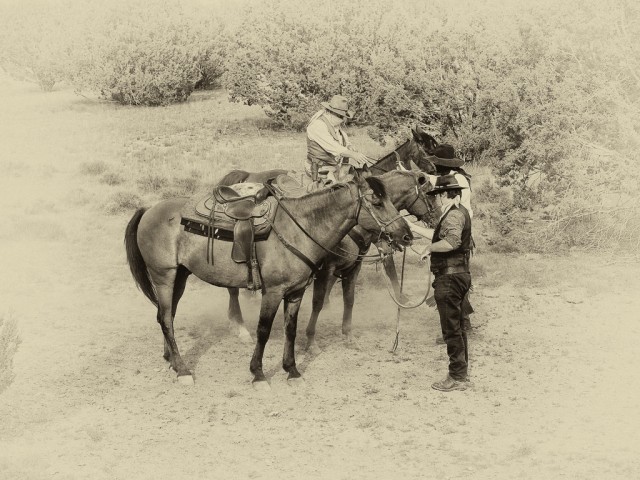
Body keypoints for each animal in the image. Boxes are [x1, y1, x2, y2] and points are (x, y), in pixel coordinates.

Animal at [124, 172, 412, 386]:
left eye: (391, 200)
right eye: (377, 203)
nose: (407, 235)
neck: (299, 229)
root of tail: (149, 209)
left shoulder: (295, 292)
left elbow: (290, 329)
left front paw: (292, 371)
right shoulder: (272, 292)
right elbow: (263, 330)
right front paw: (258, 374)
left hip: (180, 277)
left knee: (167, 316)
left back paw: (172, 361)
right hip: (164, 277)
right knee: (166, 319)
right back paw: (183, 370)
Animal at [218, 128, 438, 344]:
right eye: (429, 194)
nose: (436, 220)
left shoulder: (357, 258)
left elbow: (355, 291)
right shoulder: (329, 265)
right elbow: (321, 298)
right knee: (232, 289)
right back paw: (239, 327)